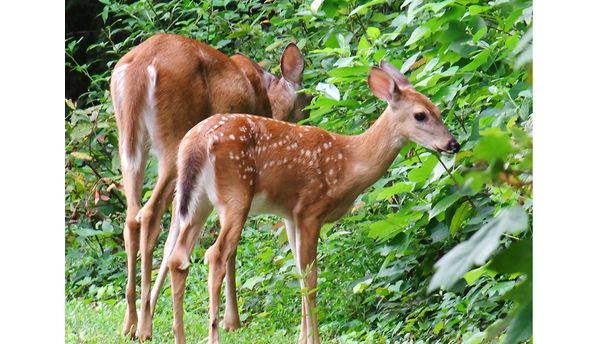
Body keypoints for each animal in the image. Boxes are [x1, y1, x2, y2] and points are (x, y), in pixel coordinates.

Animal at [109, 33, 310, 340]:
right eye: (306, 99)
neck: (265, 96)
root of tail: (139, 68)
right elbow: (229, 246)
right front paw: (232, 320)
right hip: (175, 136)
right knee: (150, 214)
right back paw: (143, 327)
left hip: (128, 140)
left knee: (133, 217)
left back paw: (131, 321)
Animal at [165, 61, 462, 344]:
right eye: (420, 115)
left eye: (437, 109)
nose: (453, 144)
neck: (349, 161)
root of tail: (196, 142)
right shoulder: (311, 210)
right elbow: (311, 277)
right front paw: (313, 340)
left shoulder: (290, 214)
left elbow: (297, 272)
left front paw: (302, 337)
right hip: (235, 195)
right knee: (214, 254)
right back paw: (214, 335)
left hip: (195, 200)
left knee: (178, 258)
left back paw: (179, 337)